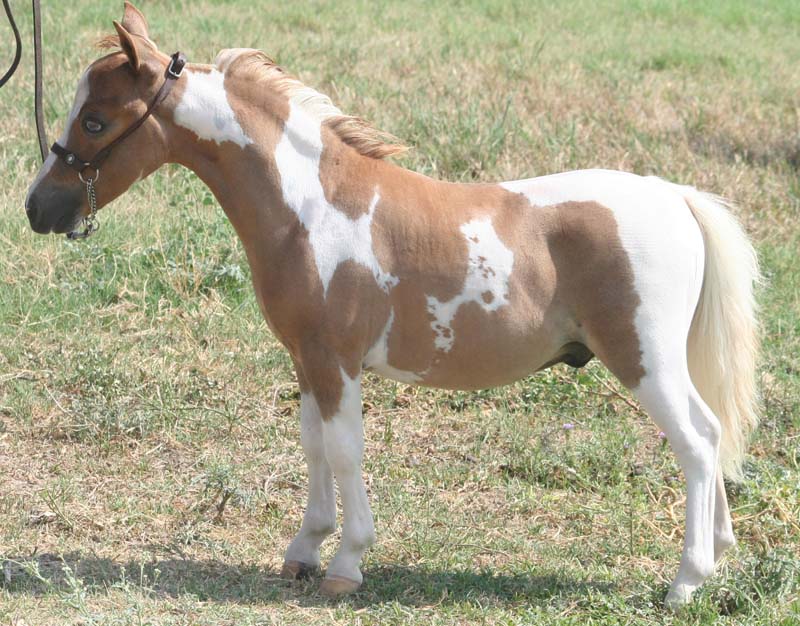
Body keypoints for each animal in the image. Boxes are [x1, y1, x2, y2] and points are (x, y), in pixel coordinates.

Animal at [25, 2, 760, 608]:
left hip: (643, 358)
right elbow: (314, 446)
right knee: (712, 431)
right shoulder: (306, 361)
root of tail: (676, 197)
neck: (312, 207)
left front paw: (346, 563)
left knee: (697, 441)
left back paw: (685, 582)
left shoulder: (336, 360)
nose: (39, 207)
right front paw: (303, 551)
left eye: (95, 119)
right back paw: (718, 553)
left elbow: (346, 450)